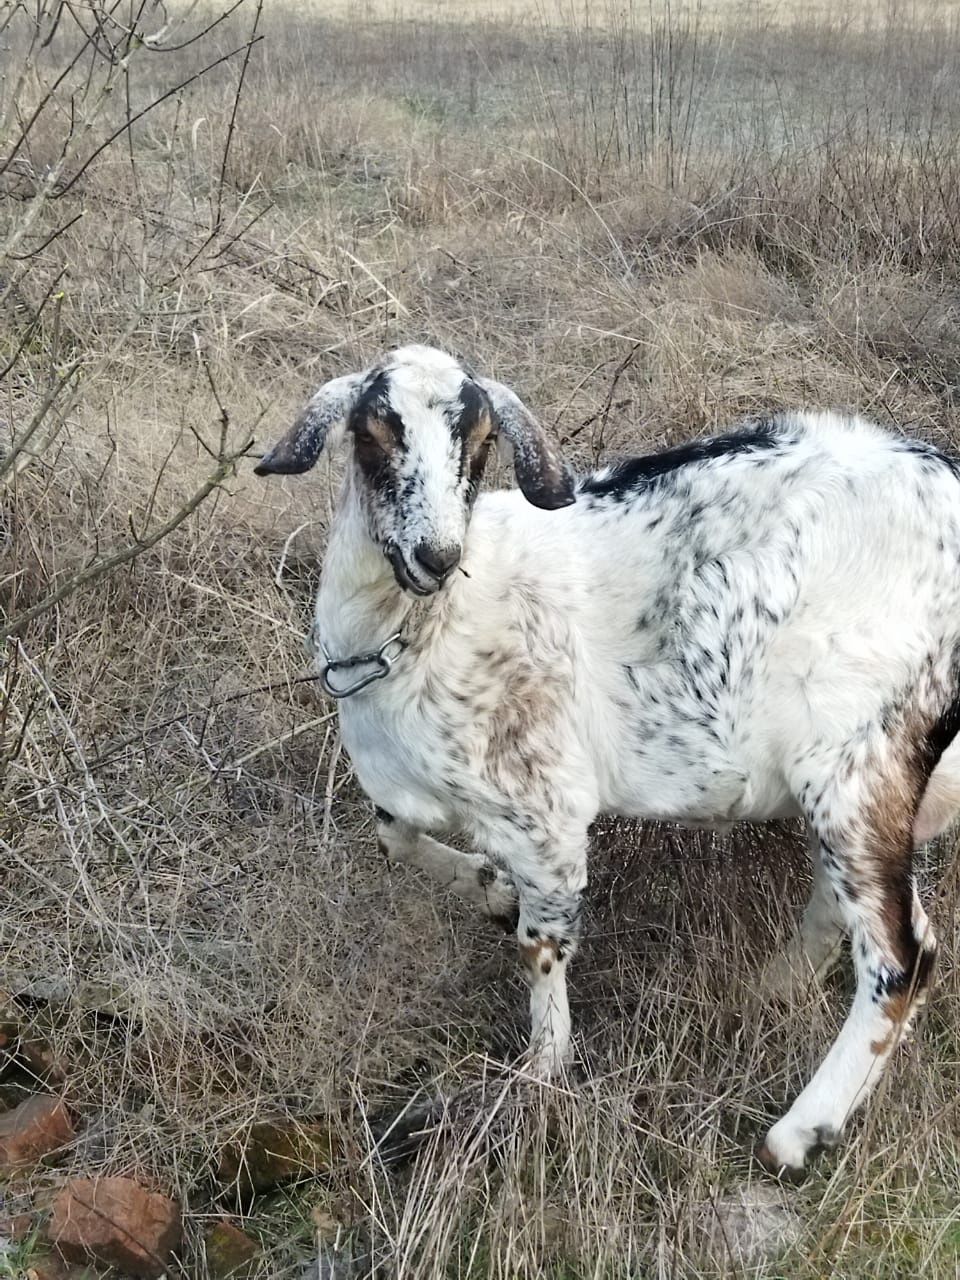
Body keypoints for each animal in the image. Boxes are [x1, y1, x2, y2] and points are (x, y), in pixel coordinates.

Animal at [253, 343, 960, 1177]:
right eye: (373, 431)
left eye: (480, 442)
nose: (437, 554)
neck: (422, 631)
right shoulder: (413, 793)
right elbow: (392, 835)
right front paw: (490, 889)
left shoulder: (546, 812)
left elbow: (541, 944)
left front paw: (540, 1070)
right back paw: (774, 987)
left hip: (861, 754)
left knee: (905, 953)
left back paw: (799, 1131)